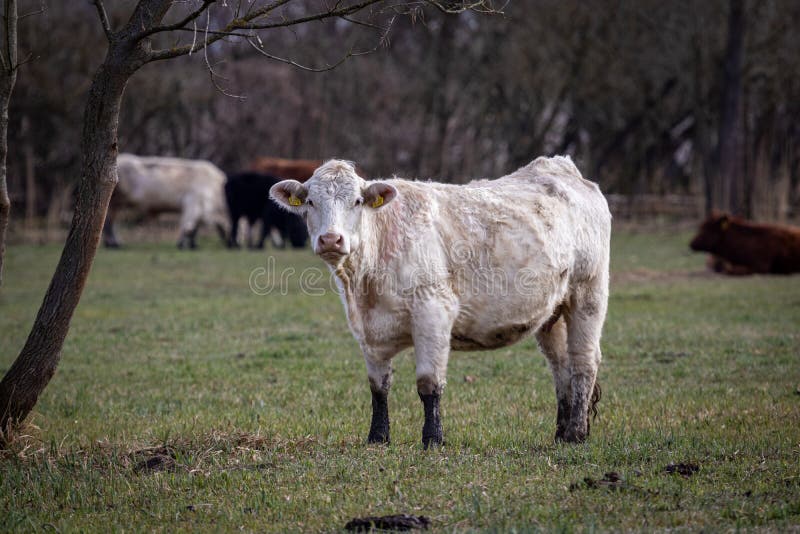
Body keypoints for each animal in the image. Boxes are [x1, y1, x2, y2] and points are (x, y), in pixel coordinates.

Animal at [270, 157, 612, 450]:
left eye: (356, 201)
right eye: (311, 202)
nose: (331, 239)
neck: (365, 285)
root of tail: (561, 166)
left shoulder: (432, 312)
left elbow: (428, 383)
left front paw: (433, 439)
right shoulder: (368, 329)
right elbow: (378, 386)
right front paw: (378, 438)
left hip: (588, 293)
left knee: (584, 361)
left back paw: (576, 434)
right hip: (551, 313)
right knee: (560, 366)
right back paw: (562, 433)